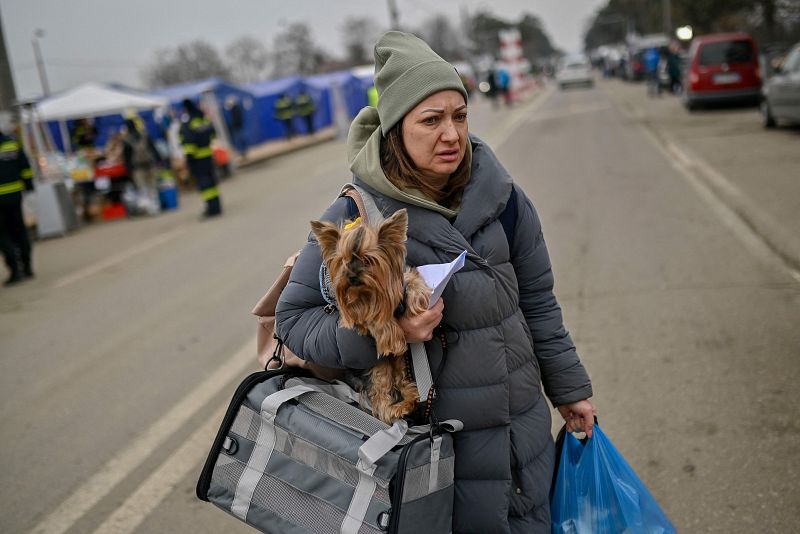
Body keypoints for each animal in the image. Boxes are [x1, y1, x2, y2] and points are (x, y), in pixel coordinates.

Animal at [310, 209, 432, 428]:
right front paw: (390, 335)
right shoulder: (351, 313)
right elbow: (370, 316)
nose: (351, 276)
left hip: (399, 363)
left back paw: (409, 399)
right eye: (343, 261)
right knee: (381, 401)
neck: (367, 291)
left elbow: (410, 278)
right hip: (377, 367)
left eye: (367, 260)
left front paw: (418, 294)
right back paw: (396, 409)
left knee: (400, 378)